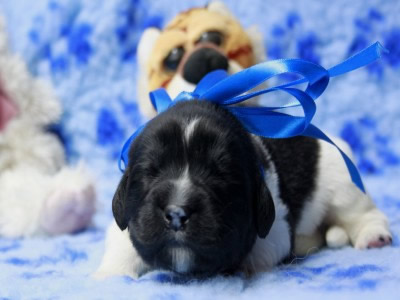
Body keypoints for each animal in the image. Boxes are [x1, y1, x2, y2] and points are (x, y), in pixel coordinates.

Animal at [95, 99, 392, 278]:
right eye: (151, 171)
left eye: (220, 174)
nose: (177, 213)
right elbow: (123, 243)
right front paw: (111, 275)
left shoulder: (276, 230)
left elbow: (257, 254)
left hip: (343, 184)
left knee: (363, 213)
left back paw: (373, 236)